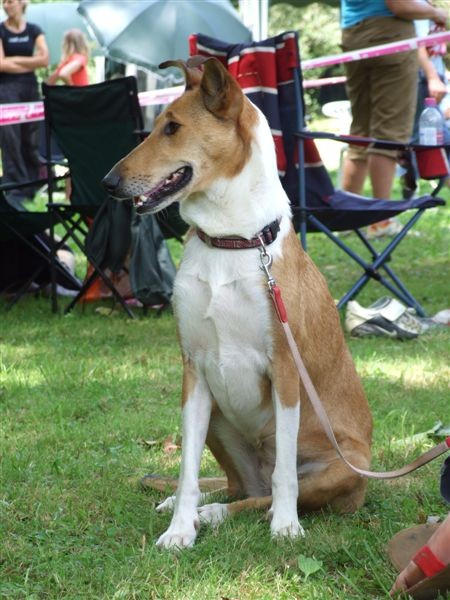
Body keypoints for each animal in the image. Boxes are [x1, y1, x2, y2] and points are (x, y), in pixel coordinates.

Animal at [103, 58, 372, 552]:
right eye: (157, 125)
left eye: (172, 127)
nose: (108, 183)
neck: (231, 241)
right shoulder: (193, 370)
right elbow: (187, 473)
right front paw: (178, 531)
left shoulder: (285, 369)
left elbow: (286, 474)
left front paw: (285, 526)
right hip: (216, 420)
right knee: (238, 487)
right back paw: (191, 508)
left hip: (344, 465)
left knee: (265, 492)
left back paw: (221, 514)